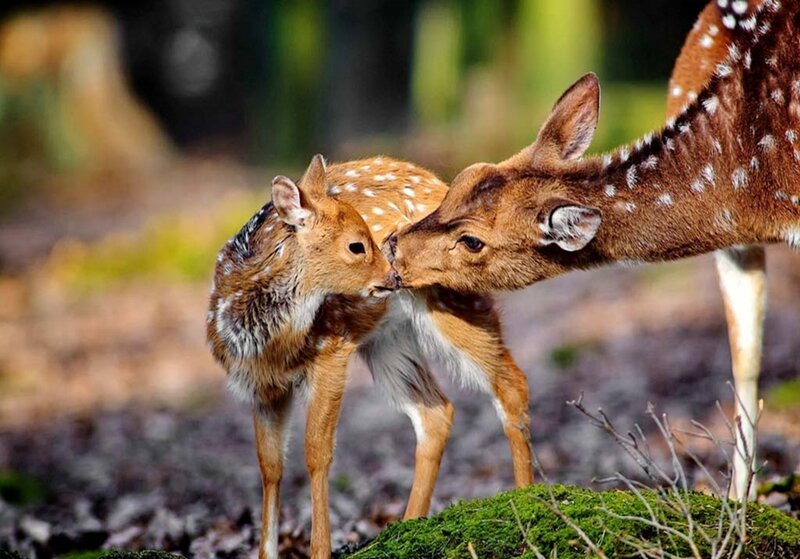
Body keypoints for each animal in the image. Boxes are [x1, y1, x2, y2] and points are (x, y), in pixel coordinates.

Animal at [207, 154, 533, 559]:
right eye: (356, 246)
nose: (393, 273)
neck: (270, 341)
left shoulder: (331, 349)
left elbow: (316, 452)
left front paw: (320, 550)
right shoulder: (260, 387)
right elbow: (269, 465)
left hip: (453, 300)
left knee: (511, 384)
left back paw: (528, 501)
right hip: (388, 341)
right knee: (436, 412)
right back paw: (409, 525)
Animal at [391, 0, 794, 501]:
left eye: (472, 241)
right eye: (462, 179)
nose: (392, 245)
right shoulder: (736, 240)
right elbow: (746, 358)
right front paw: (737, 505)